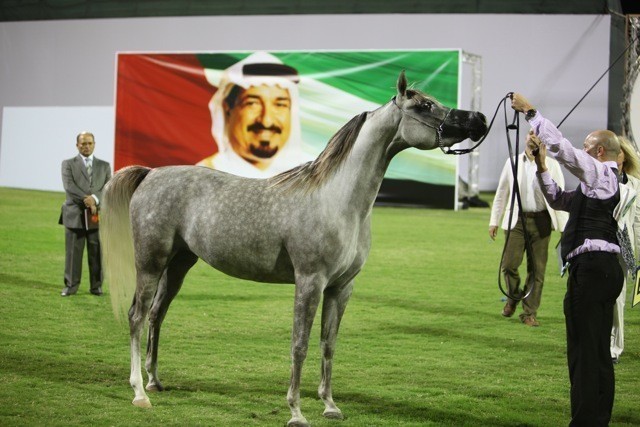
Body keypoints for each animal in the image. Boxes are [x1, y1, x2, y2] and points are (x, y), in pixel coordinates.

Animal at [100, 71, 488, 427]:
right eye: (424, 106)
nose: (478, 120)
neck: (337, 200)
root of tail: (150, 173)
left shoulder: (341, 288)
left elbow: (328, 343)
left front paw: (330, 405)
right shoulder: (310, 282)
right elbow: (299, 344)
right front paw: (296, 412)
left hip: (178, 263)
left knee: (156, 315)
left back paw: (154, 381)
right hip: (150, 263)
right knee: (137, 316)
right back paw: (139, 393)